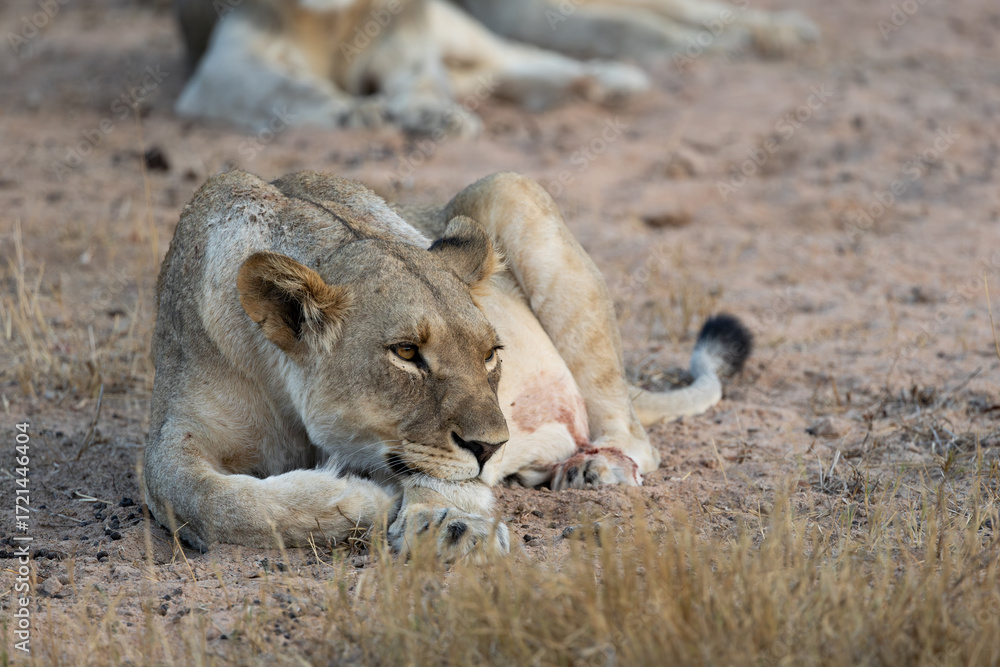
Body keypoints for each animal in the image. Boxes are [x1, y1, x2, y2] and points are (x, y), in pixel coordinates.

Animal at [142, 169, 751, 559]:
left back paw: (594, 467)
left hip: (511, 188)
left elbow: (442, 479)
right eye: (408, 353)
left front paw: (452, 525)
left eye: (491, 354)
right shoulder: (174, 433)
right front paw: (359, 501)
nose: (492, 447)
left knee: (632, 432)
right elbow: (198, 496)